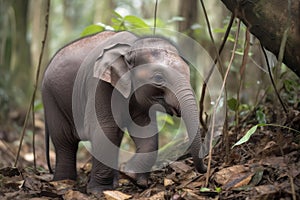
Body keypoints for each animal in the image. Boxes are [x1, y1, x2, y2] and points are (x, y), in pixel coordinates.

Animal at [42, 30, 206, 194]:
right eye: (159, 78)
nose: (204, 169)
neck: (131, 47)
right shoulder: (99, 85)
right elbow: (105, 129)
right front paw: (99, 192)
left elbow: (145, 131)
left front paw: (133, 176)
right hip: (52, 99)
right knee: (64, 140)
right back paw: (64, 182)